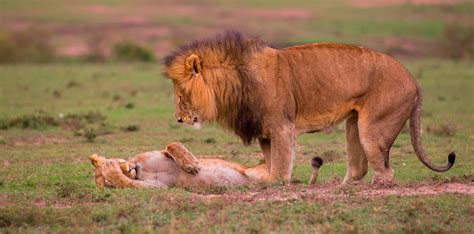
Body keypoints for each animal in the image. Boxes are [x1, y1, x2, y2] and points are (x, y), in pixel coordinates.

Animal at [163, 31, 456, 185]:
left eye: (180, 94)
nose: (177, 119)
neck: (235, 83)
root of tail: (413, 80)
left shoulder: (282, 127)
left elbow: (280, 168)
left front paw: (277, 183)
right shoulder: (265, 134)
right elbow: (271, 163)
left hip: (373, 128)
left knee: (385, 173)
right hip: (354, 125)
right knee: (358, 168)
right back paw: (339, 188)